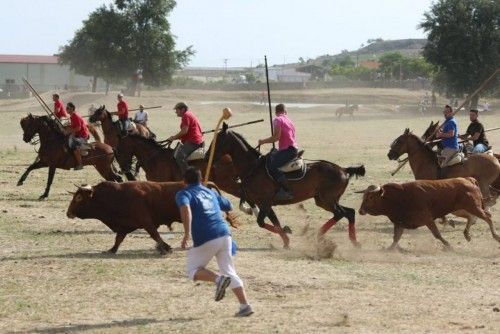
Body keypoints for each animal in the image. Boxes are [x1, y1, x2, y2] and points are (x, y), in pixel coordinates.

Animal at [205, 122, 366, 248]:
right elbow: (274, 223)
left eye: (218, 140)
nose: (207, 156)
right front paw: (286, 240)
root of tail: (343, 170)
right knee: (349, 213)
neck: (253, 167)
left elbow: (261, 222)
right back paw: (352, 241)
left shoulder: (265, 203)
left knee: (341, 213)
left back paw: (318, 235)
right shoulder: (266, 204)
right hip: (322, 200)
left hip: (328, 200)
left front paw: (287, 234)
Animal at [358, 177, 498, 250]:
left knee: (487, 217)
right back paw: (467, 235)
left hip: (474, 207)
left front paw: (448, 245)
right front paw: (390, 249)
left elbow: (437, 234)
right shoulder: (400, 222)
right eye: (364, 196)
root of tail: (468, 180)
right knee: (471, 217)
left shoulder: (427, 219)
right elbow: (396, 238)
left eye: (370, 197)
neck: (400, 197)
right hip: (460, 209)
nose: (360, 210)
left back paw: (496, 236)